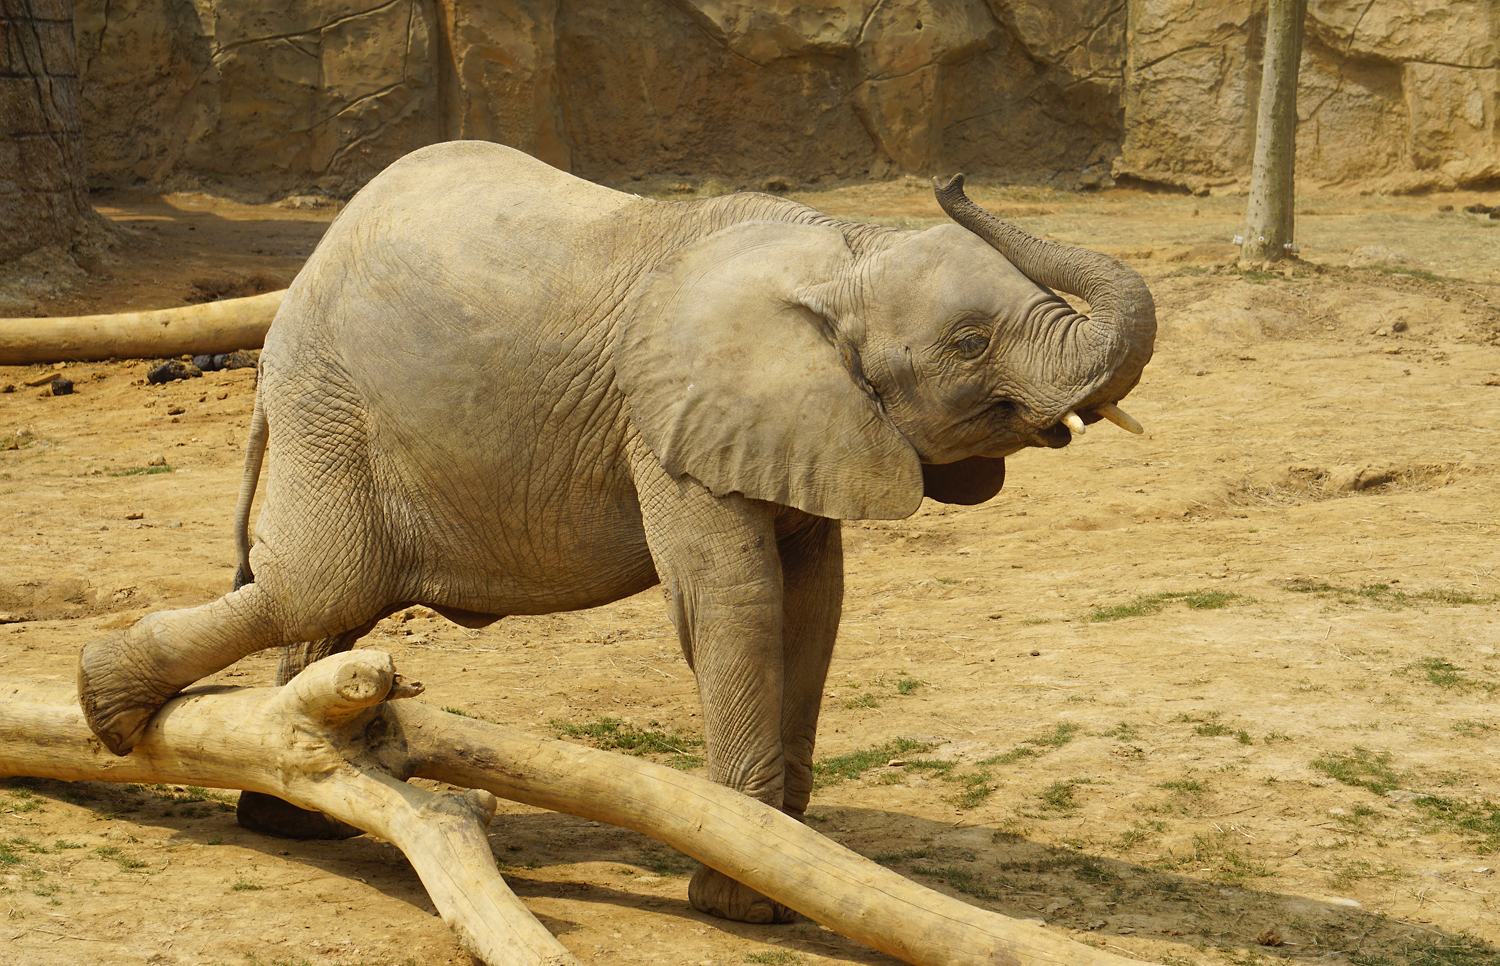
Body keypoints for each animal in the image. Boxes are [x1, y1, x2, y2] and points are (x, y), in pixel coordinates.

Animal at [77, 140, 1155, 923]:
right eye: (970, 345)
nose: (955, 178)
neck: (843, 250)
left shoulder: (802, 424)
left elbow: (815, 598)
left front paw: (796, 865)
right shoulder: (667, 420)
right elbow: (733, 598)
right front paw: (742, 902)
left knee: (331, 604)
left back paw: (286, 820)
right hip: (329, 402)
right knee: (320, 583)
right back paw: (106, 704)